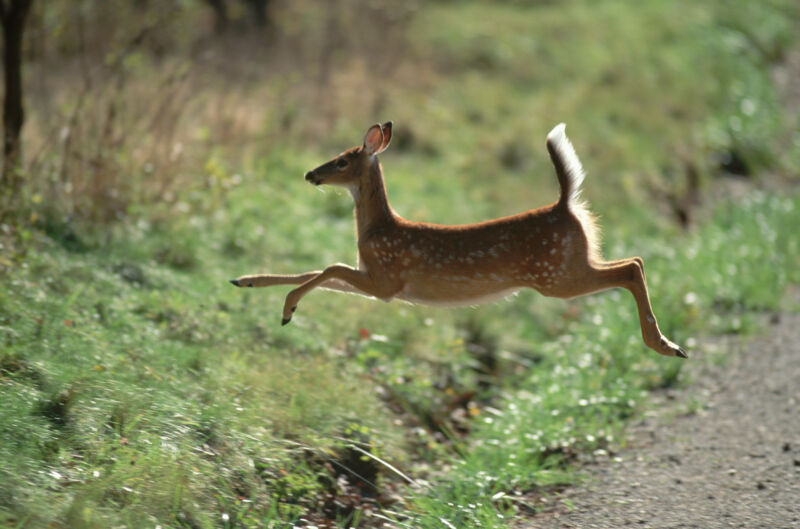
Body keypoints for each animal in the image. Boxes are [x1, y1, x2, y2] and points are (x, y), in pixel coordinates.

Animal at [230, 122, 687, 358]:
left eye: (342, 159)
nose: (311, 173)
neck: (379, 229)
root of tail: (565, 204)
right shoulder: (376, 280)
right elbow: (318, 271)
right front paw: (245, 280)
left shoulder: (387, 279)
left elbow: (328, 266)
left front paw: (287, 310)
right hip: (571, 265)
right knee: (634, 262)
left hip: (555, 276)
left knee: (631, 267)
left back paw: (665, 346)